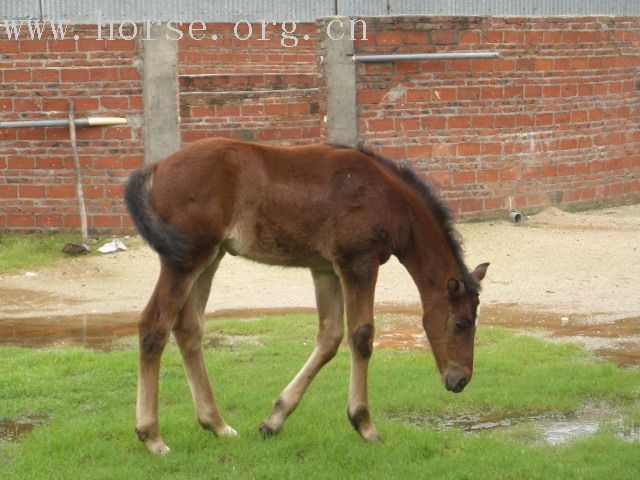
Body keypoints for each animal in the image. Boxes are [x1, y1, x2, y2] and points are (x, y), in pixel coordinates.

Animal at [125, 139, 488, 454]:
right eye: (461, 322)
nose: (460, 380)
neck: (388, 197)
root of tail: (157, 167)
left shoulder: (325, 269)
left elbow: (329, 338)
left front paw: (274, 420)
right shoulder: (359, 262)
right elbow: (361, 336)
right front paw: (364, 425)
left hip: (210, 257)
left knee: (188, 328)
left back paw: (217, 424)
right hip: (184, 259)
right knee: (153, 326)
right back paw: (151, 436)